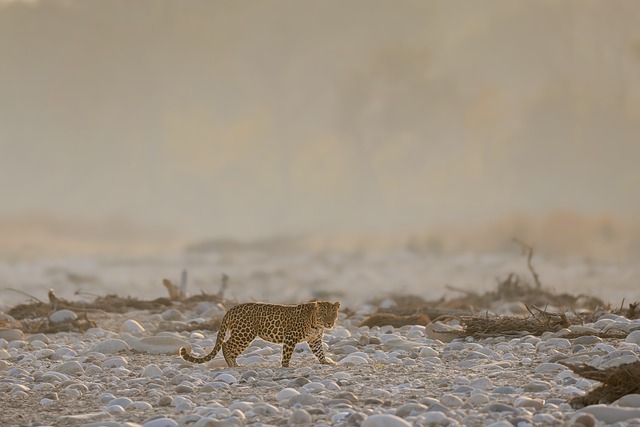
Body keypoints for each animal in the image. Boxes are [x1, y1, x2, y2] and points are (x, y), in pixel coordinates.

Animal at [179, 300, 340, 367]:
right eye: (324, 314)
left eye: (333, 314)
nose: (329, 323)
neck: (316, 324)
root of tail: (231, 309)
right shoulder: (290, 337)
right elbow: (287, 354)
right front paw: (285, 366)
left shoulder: (314, 340)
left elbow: (320, 352)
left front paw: (325, 362)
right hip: (245, 333)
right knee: (226, 344)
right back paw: (232, 364)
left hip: (243, 334)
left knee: (229, 346)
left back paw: (235, 363)